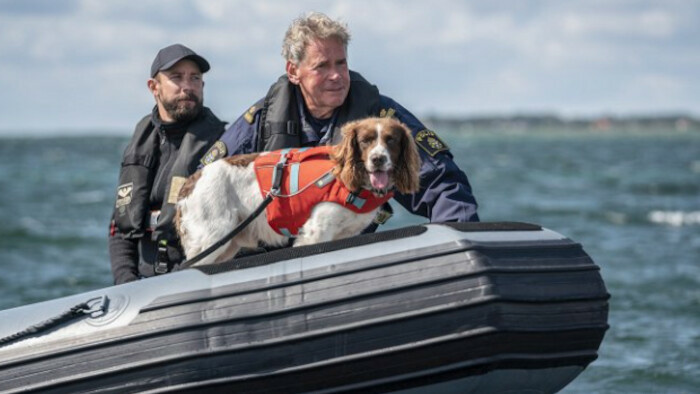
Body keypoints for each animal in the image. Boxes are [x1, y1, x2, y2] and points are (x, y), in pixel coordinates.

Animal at [175, 115, 422, 266]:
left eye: (391, 140)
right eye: (365, 141)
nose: (378, 159)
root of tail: (190, 182)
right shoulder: (316, 231)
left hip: (226, 245)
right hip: (211, 238)